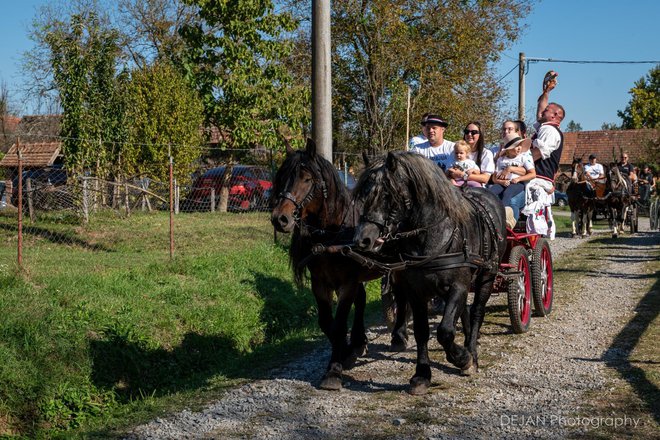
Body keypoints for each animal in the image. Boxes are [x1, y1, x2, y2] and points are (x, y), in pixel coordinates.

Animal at [270, 139, 382, 390]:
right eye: (281, 177)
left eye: (307, 179)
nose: (280, 219)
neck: (333, 233)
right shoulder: (321, 282)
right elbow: (326, 323)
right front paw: (346, 352)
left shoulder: (348, 282)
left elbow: (339, 325)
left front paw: (333, 371)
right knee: (362, 300)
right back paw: (358, 341)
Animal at [354, 152, 508, 396]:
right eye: (364, 194)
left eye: (387, 194)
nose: (362, 240)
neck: (432, 237)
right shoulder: (417, 291)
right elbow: (422, 331)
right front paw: (421, 375)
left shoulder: (458, 286)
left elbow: (445, 331)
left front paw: (463, 358)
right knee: (463, 311)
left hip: (487, 276)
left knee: (476, 312)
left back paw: (471, 351)